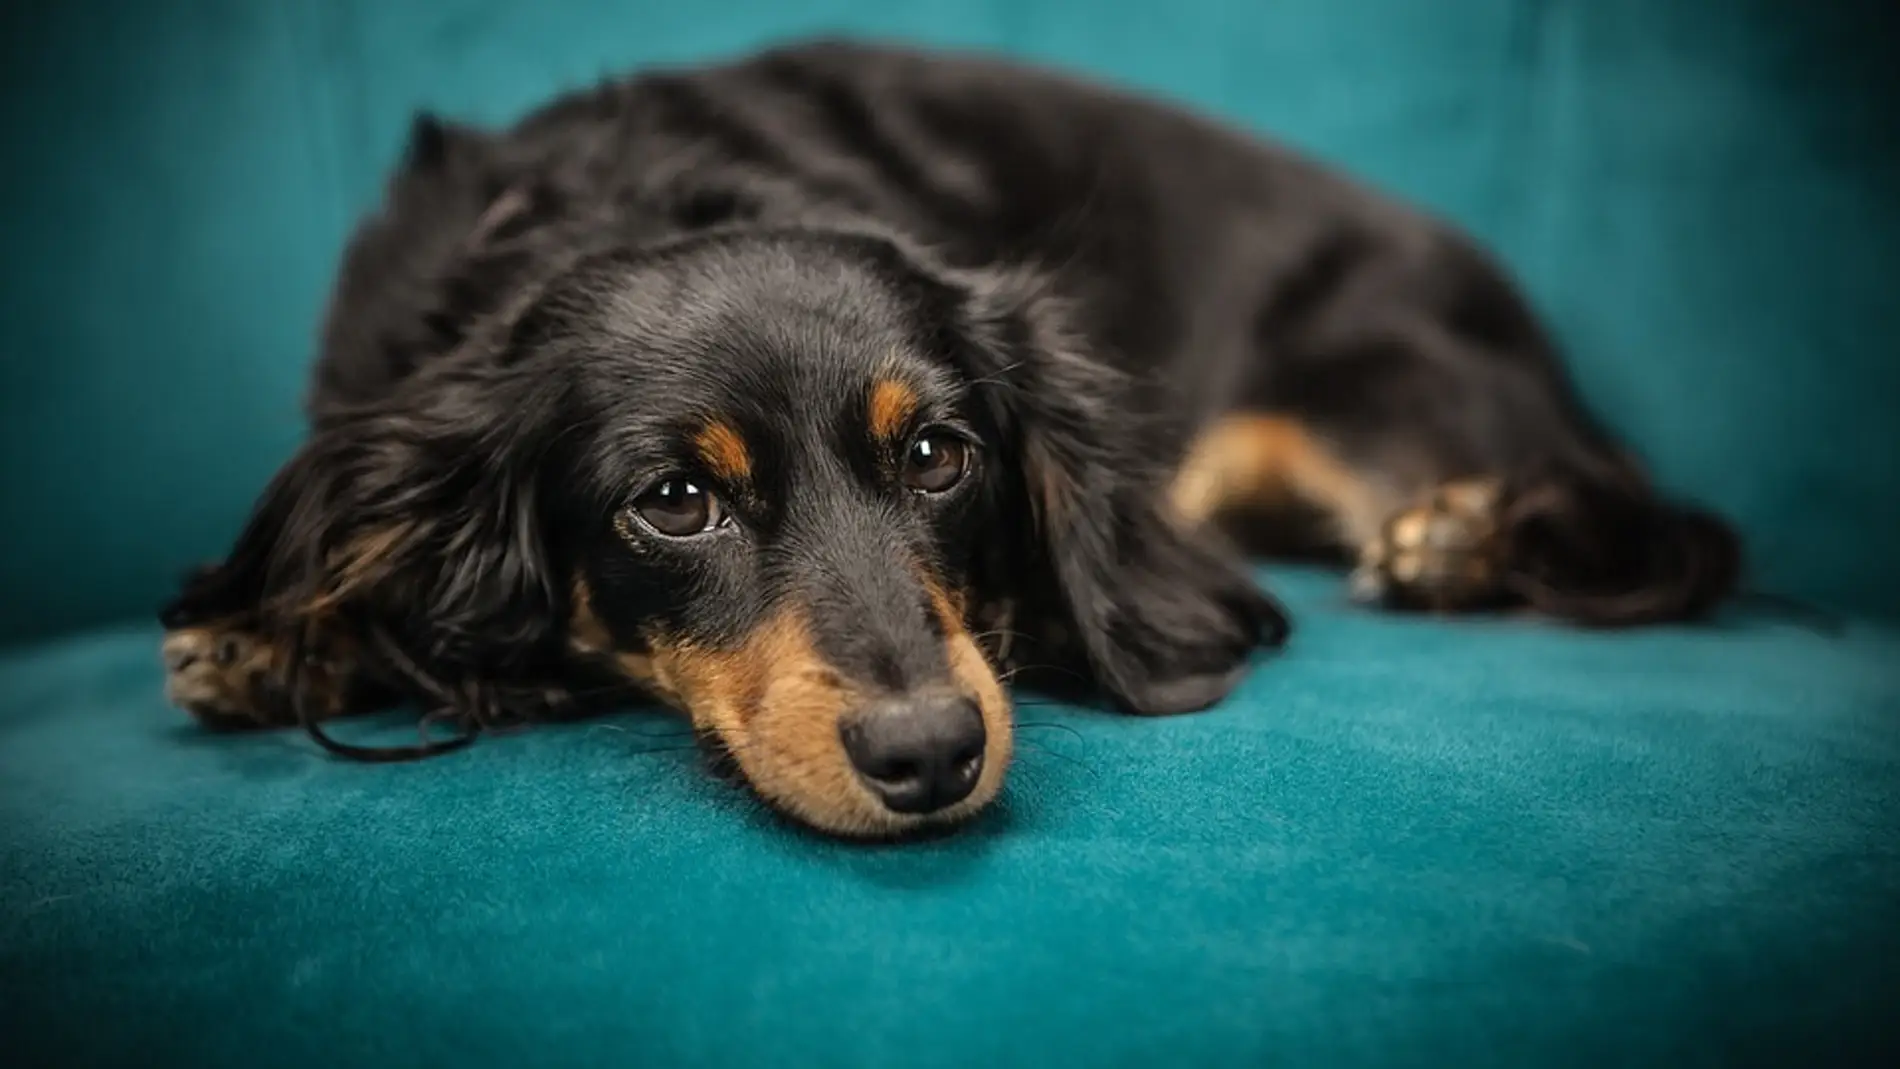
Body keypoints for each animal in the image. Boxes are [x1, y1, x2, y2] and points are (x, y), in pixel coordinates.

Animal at [163, 37, 1740, 839]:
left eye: (937, 456)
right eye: (672, 499)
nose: (929, 754)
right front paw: (272, 633)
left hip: (1380, 388)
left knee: (1665, 533)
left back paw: (1462, 537)